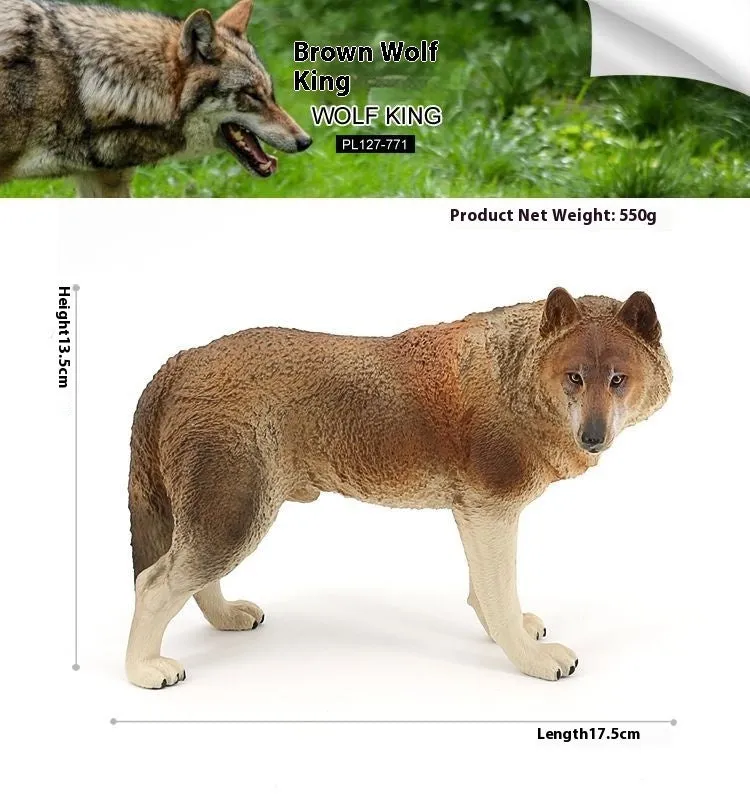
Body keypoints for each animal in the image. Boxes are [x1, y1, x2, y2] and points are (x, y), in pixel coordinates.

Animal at [126, 288, 671, 688]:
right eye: (574, 377)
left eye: (618, 380)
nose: (593, 437)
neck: (517, 375)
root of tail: (180, 361)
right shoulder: (491, 510)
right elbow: (499, 595)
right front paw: (530, 659)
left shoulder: (476, 512)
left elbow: (485, 594)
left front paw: (513, 631)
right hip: (236, 514)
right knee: (154, 583)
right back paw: (142, 670)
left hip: (227, 512)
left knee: (193, 579)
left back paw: (226, 617)